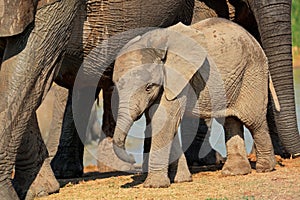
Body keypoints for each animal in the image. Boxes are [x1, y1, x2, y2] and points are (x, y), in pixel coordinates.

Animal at [112, 18, 278, 188]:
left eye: (148, 87)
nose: (132, 158)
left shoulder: (179, 79)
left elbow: (163, 120)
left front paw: (154, 185)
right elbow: (162, 121)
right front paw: (182, 179)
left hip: (252, 72)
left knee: (254, 121)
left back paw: (265, 168)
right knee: (230, 120)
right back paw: (234, 171)